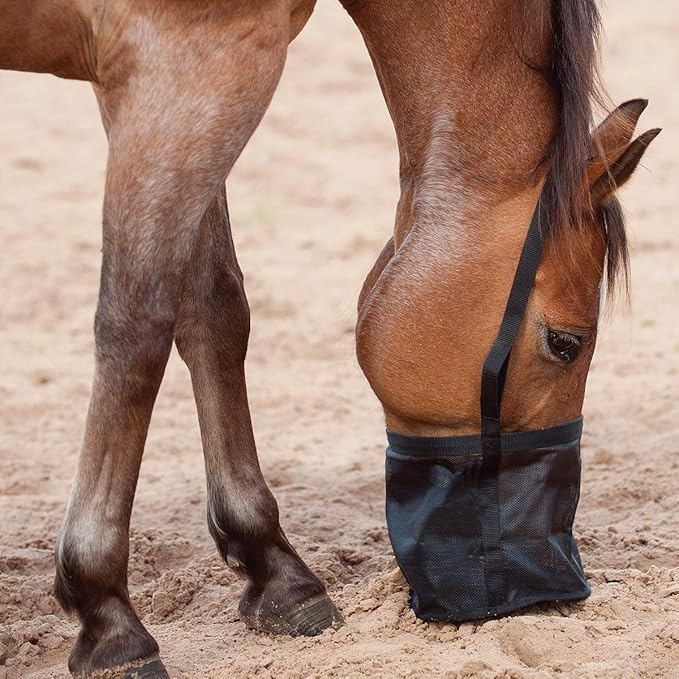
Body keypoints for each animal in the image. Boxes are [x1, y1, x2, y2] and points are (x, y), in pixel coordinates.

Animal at [0, 1, 658, 677]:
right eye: (565, 344)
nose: (550, 588)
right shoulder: (185, 64)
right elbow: (137, 331)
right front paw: (106, 612)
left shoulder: (182, 80)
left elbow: (213, 306)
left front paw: (275, 569)